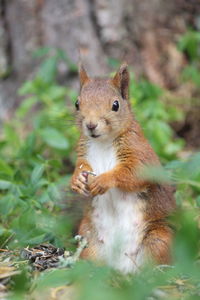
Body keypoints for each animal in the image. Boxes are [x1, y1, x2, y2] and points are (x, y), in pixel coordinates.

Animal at [70, 63, 175, 274]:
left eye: (115, 105)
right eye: (77, 103)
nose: (91, 125)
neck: (103, 142)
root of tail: (122, 267)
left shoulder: (140, 152)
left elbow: (134, 172)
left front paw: (104, 180)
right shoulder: (83, 153)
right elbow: (80, 166)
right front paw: (76, 180)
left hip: (159, 240)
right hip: (88, 239)